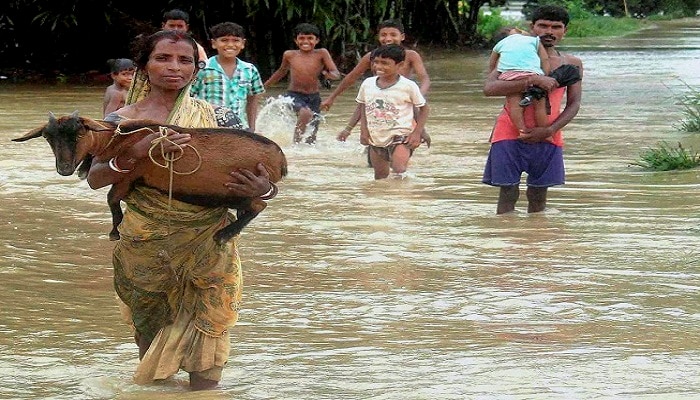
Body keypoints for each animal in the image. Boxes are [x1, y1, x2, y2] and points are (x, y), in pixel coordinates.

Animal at [16, 112, 290, 244]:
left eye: (79, 134)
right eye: (48, 137)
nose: (64, 168)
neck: (118, 137)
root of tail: (280, 158)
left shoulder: (130, 176)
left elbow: (111, 198)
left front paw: (115, 230)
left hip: (235, 188)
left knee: (259, 205)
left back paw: (224, 234)